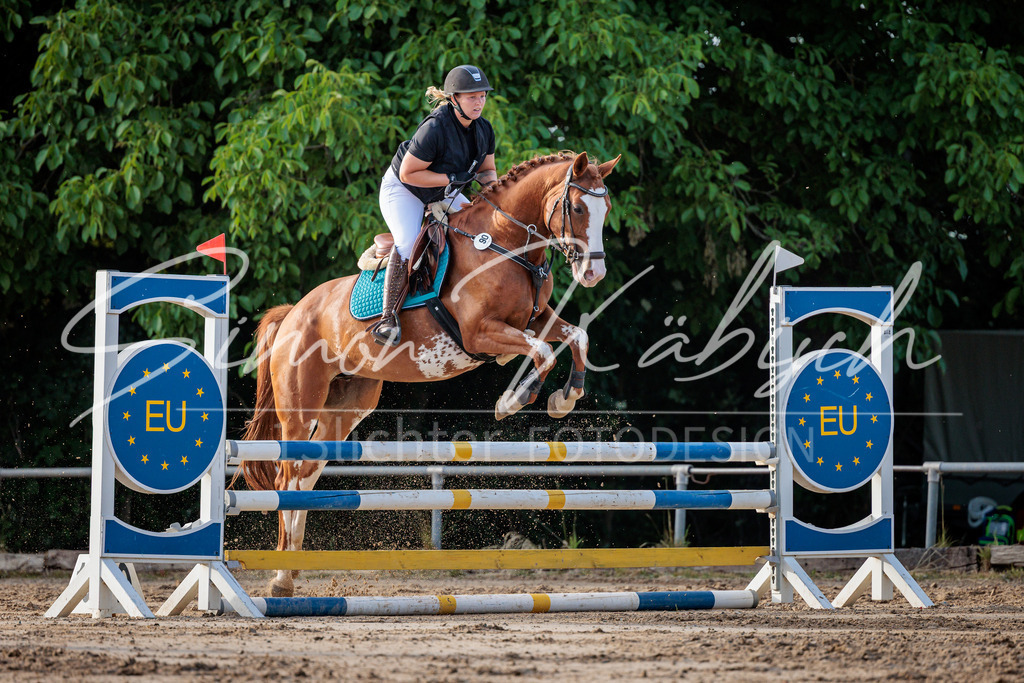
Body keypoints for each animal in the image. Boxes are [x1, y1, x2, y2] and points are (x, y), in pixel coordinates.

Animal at [239, 150, 620, 597]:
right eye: (577, 208)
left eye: (605, 210)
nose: (594, 275)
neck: (506, 245)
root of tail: (293, 313)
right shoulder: (480, 332)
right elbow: (542, 351)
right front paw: (513, 401)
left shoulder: (538, 318)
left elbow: (577, 337)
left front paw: (564, 399)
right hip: (300, 405)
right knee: (287, 475)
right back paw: (281, 577)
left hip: (347, 405)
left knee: (306, 473)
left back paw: (293, 569)